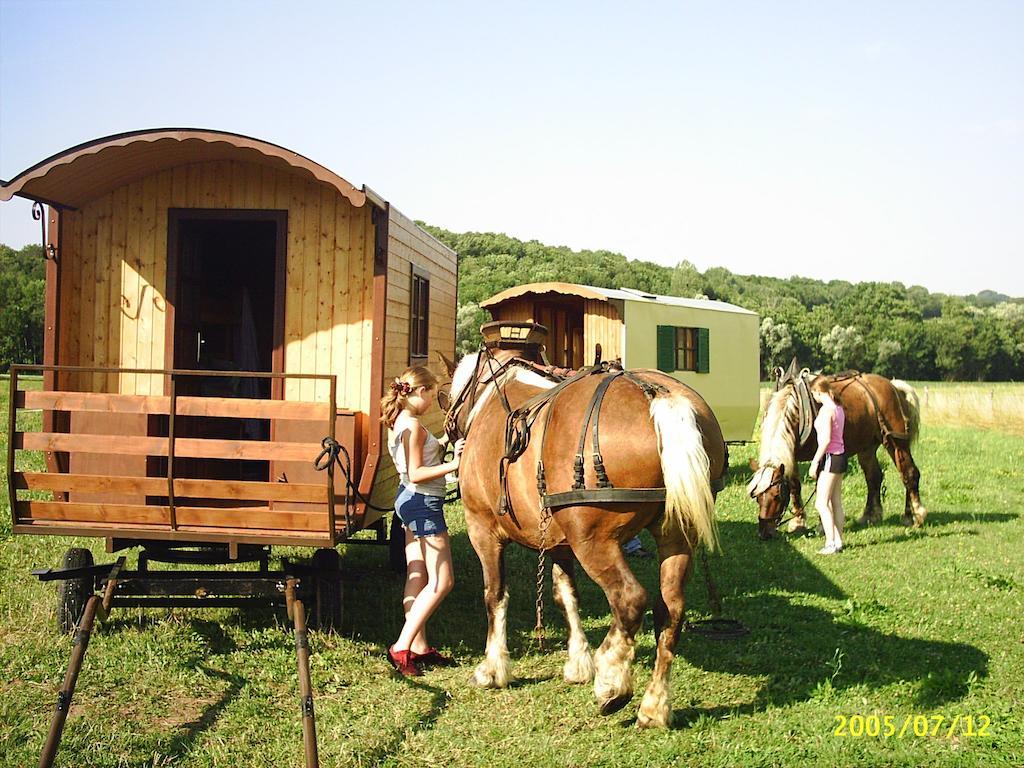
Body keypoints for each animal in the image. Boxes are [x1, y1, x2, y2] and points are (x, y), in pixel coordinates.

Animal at [749, 368, 925, 540]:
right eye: (757, 497)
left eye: (777, 496)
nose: (764, 533)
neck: (799, 410)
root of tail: (893, 386)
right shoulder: (791, 456)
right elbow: (795, 486)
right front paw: (798, 522)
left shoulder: (820, 457)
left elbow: (821, 487)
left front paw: (821, 526)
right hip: (867, 447)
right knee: (874, 476)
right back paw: (871, 515)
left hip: (895, 442)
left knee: (908, 473)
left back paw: (913, 516)